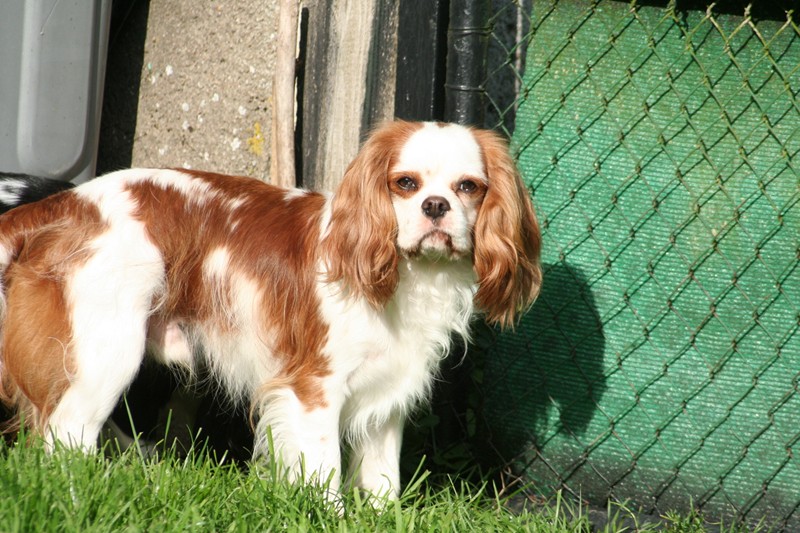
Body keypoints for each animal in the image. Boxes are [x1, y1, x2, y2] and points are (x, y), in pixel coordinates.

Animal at [0, 121, 540, 498]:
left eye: (468, 187)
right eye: (405, 184)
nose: (435, 206)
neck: (407, 276)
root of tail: (62, 205)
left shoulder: (388, 395)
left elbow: (384, 480)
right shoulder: (314, 388)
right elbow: (325, 471)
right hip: (107, 352)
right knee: (66, 438)